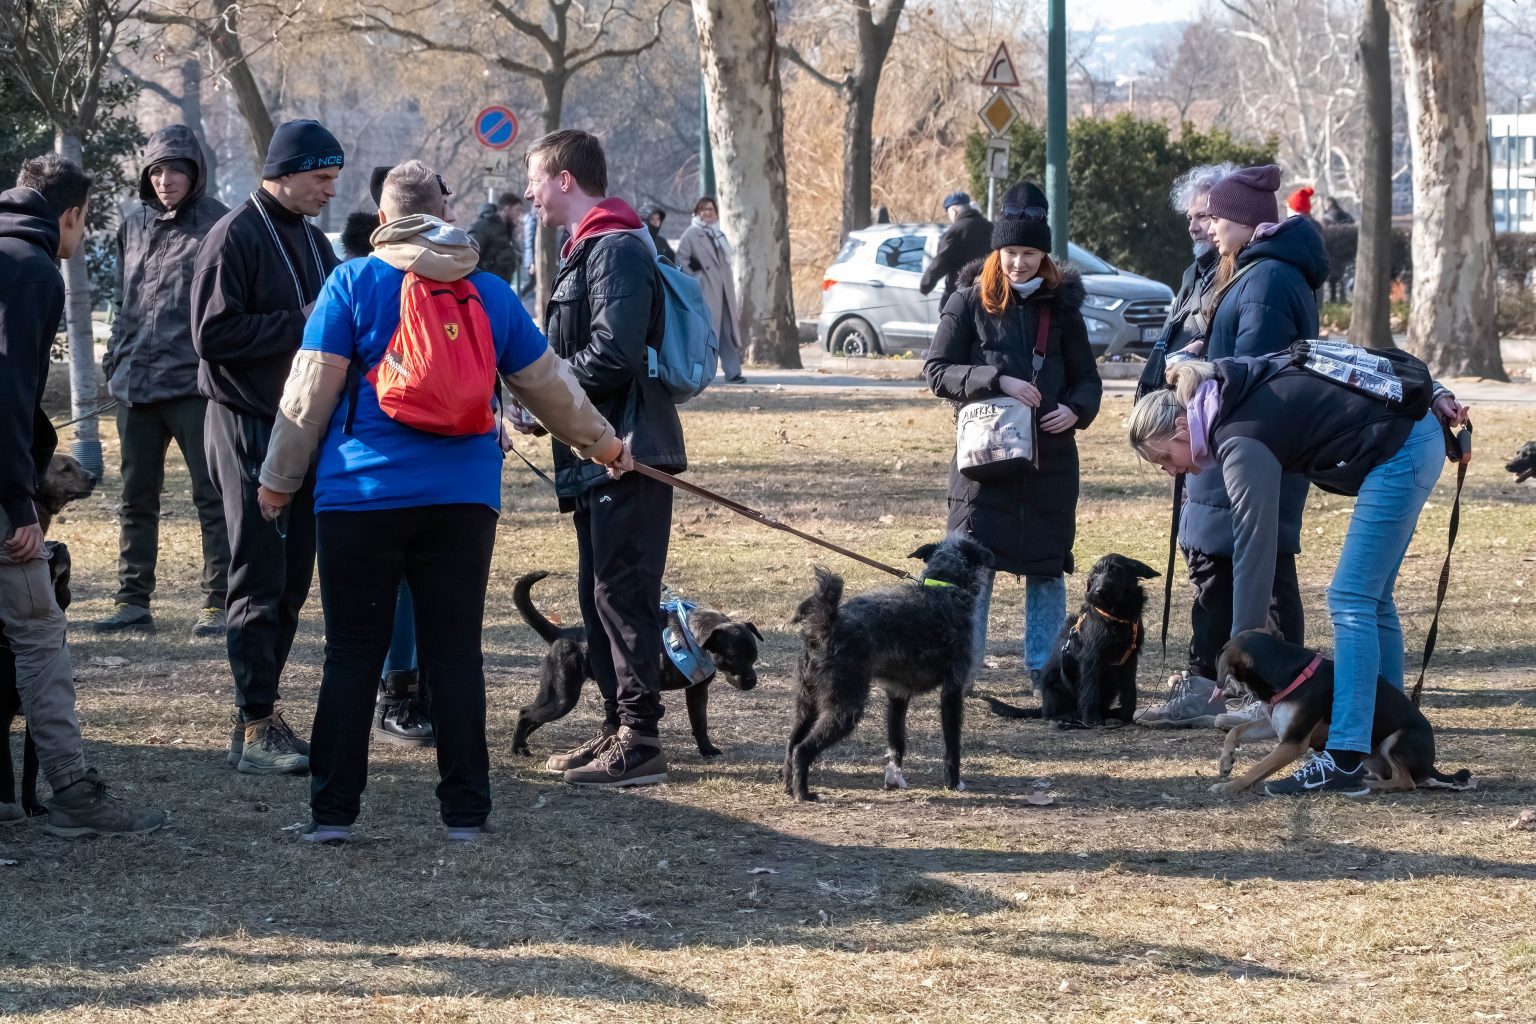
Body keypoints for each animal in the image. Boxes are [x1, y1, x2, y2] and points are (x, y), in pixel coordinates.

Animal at [509, 574, 761, 758]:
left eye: (754, 656)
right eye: (733, 657)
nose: (752, 681)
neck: (693, 635)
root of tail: (562, 634)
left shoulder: (698, 691)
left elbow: (700, 723)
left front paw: (706, 750)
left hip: (554, 697)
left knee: (531, 715)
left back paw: (522, 743)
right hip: (563, 698)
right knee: (526, 714)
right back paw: (517, 748)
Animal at [780, 537, 995, 798]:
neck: (943, 587)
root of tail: (825, 625)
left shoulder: (898, 694)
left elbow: (897, 741)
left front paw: (893, 779)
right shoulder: (952, 692)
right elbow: (952, 745)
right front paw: (954, 783)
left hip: (807, 705)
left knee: (791, 745)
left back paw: (790, 787)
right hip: (845, 708)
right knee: (802, 750)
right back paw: (804, 794)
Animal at [976, 555, 1155, 733]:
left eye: (1115, 570)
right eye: (1095, 574)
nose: (1098, 591)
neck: (1115, 615)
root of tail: (1043, 707)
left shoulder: (1130, 660)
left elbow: (1129, 689)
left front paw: (1129, 715)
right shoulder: (1091, 659)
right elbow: (1091, 691)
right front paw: (1092, 720)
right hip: (1055, 682)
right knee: (1054, 713)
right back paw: (1070, 718)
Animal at [1210, 629, 1474, 798]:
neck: (1290, 673)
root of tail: (1431, 766)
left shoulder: (1293, 742)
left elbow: (1256, 769)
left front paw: (1229, 787)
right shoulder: (1276, 726)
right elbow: (1235, 730)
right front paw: (1226, 761)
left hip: (1395, 742)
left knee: (1406, 781)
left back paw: (1368, 783)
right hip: (1371, 755)